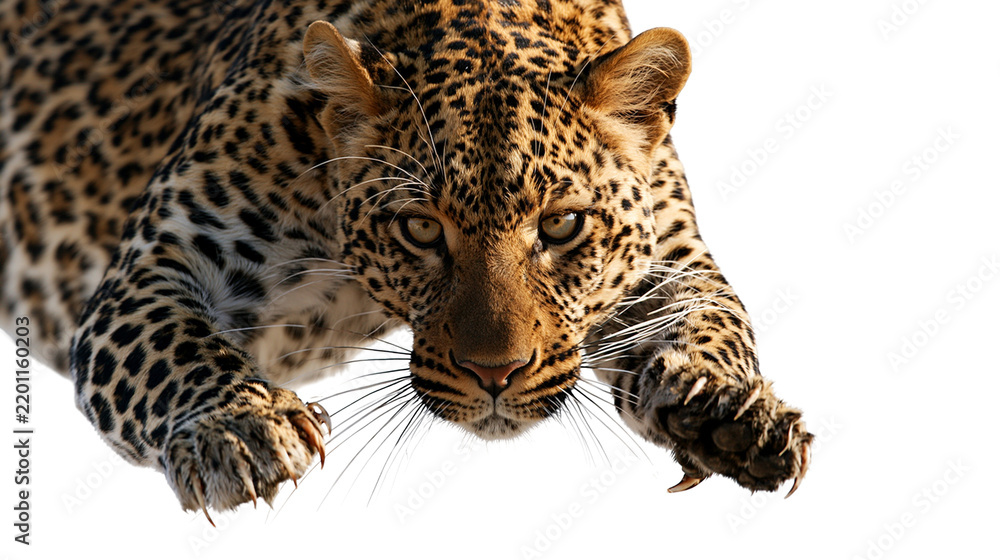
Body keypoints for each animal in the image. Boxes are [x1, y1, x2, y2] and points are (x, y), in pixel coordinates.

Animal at [0, 0, 813, 521]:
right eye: (421, 229)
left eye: (562, 225)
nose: (495, 375)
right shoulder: (157, 264)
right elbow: (172, 347)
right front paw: (239, 425)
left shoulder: (666, 256)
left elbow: (713, 316)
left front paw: (730, 410)